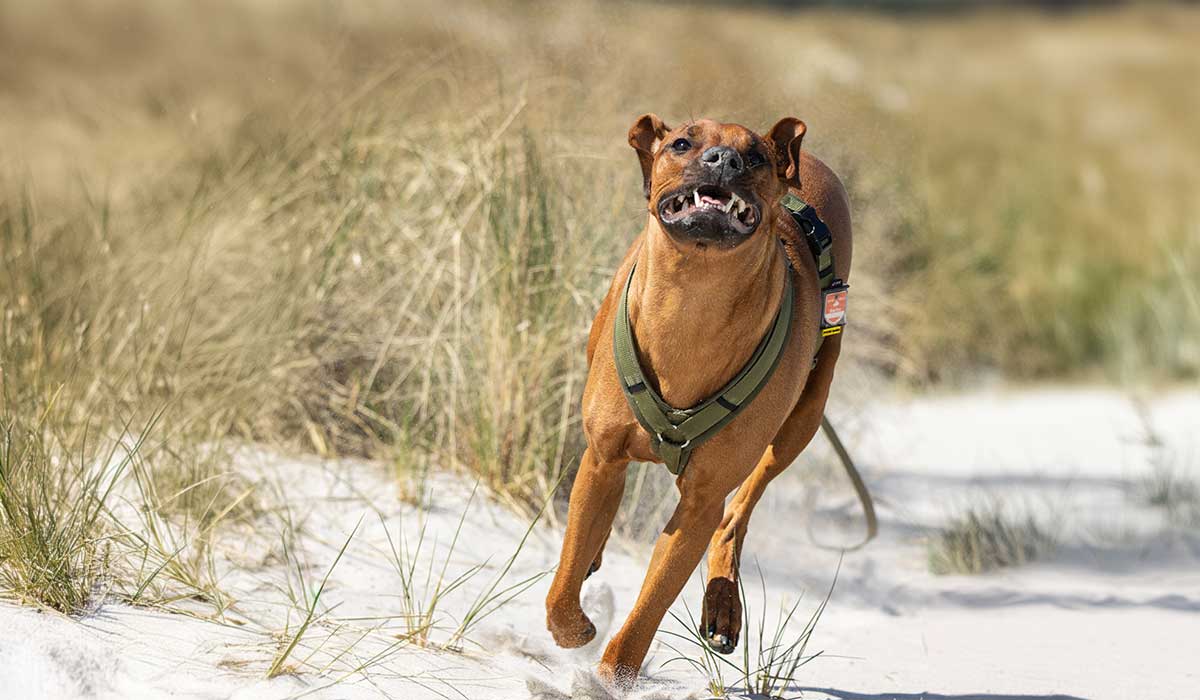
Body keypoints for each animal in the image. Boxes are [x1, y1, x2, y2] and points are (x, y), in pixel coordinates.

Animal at [547, 112, 854, 686]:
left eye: (754, 156)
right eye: (682, 143)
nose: (724, 160)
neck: (691, 301)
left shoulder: (700, 501)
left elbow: (652, 603)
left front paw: (613, 677)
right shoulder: (601, 457)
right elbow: (565, 575)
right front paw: (574, 628)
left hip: (803, 418)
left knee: (738, 513)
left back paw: (722, 604)